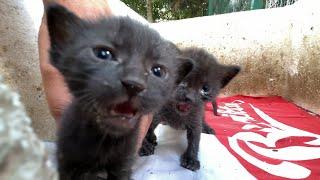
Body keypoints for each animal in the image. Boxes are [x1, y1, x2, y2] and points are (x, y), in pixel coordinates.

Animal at [46, 4, 194, 180]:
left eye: (158, 71)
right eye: (103, 53)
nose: (134, 84)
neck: (103, 143)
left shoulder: (123, 163)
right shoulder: (66, 160)